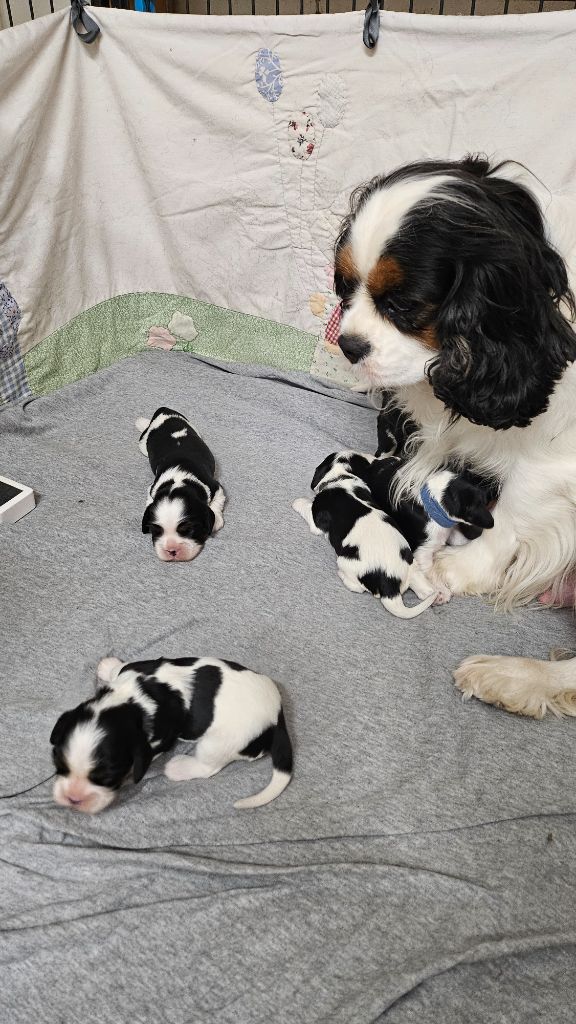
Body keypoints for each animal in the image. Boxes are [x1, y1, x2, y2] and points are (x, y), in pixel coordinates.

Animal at [49, 655, 291, 815]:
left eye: (108, 778)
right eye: (59, 766)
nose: (73, 798)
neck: (131, 702)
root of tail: (278, 716)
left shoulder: (158, 741)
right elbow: (122, 667)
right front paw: (109, 665)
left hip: (218, 743)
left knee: (209, 767)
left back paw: (178, 767)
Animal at [135, 405, 224, 565]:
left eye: (188, 529)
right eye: (156, 531)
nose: (172, 550)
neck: (179, 479)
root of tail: (163, 411)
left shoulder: (216, 487)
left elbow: (217, 503)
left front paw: (217, 520)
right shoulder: (151, 489)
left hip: (191, 426)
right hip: (143, 444)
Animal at [293, 452, 436, 618]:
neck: (341, 476)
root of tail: (390, 586)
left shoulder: (316, 520)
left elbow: (306, 506)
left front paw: (297, 502)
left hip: (345, 561)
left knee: (357, 587)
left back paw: (342, 576)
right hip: (412, 566)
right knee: (425, 589)